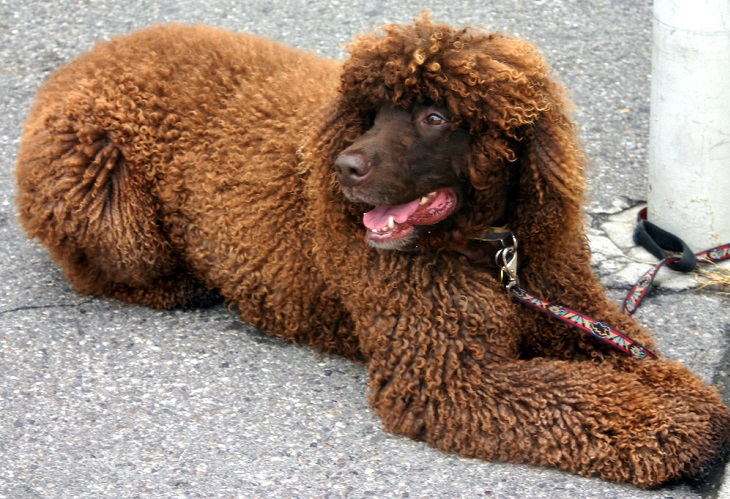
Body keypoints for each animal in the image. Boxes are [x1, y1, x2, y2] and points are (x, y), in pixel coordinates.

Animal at [15, 14, 728, 488]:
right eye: (373, 112)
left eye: (435, 117)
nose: (344, 168)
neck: (486, 250)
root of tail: (79, 63)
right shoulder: (450, 377)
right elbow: (582, 397)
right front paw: (682, 432)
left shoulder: (568, 308)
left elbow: (643, 367)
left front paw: (691, 403)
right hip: (102, 195)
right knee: (93, 265)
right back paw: (178, 285)